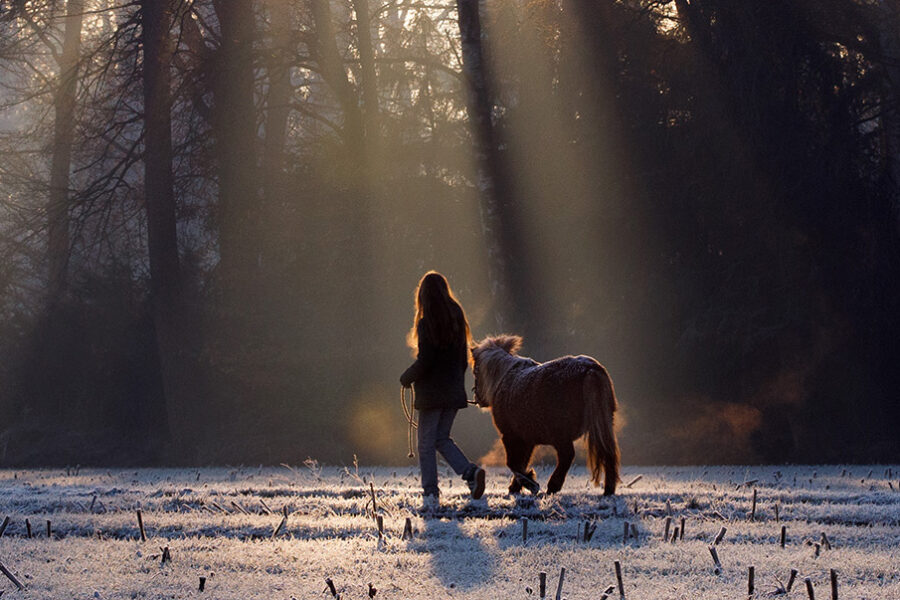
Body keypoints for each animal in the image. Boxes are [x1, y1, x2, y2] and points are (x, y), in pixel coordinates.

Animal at [471, 335, 620, 495]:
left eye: (475, 370)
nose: (477, 398)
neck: (504, 378)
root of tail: (589, 369)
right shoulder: (527, 439)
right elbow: (522, 462)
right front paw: (517, 486)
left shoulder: (510, 436)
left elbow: (513, 464)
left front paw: (530, 482)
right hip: (603, 425)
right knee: (608, 453)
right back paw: (609, 490)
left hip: (561, 435)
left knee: (567, 456)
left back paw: (553, 486)